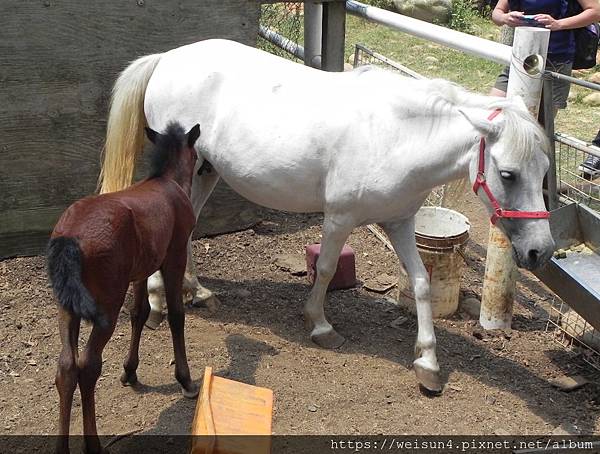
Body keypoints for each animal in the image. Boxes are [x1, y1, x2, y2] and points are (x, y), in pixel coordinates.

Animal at [47, 122, 202, 452]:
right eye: (196, 156)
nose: (203, 167)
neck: (167, 182)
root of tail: (71, 237)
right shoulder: (173, 258)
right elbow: (176, 316)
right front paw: (185, 380)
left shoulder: (141, 270)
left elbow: (139, 313)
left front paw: (130, 371)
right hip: (106, 305)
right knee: (88, 366)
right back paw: (93, 444)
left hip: (67, 307)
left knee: (66, 367)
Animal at [98, 39, 552, 392]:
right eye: (508, 173)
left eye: (545, 172)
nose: (540, 252)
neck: (396, 135)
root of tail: (166, 57)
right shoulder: (340, 218)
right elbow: (328, 268)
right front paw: (319, 325)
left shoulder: (400, 223)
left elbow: (422, 283)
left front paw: (428, 363)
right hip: (185, 170)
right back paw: (158, 302)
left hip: (206, 170)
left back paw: (197, 291)